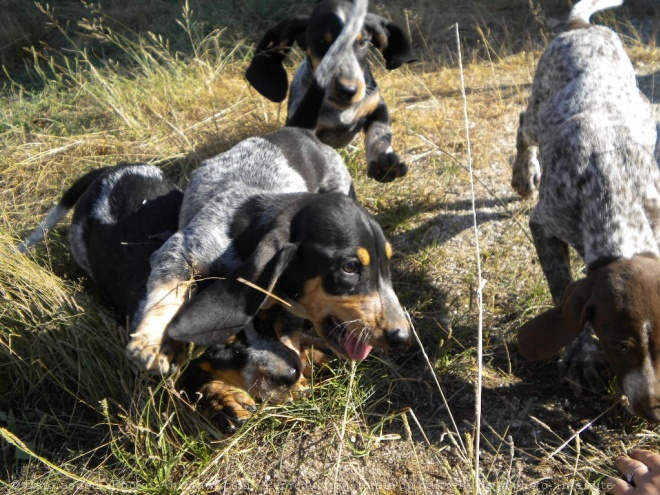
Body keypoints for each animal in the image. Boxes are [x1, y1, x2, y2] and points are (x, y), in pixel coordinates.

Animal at [245, 0, 416, 183]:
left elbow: (379, 132)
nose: (347, 89)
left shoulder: (376, 104)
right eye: (322, 41)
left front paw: (383, 162)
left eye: (363, 41)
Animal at [512, 0, 660, 422]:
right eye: (619, 345)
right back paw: (523, 174)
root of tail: (580, 26)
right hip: (539, 106)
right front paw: (580, 355)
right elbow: (562, 291)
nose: (655, 411)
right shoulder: (544, 224)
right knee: (523, 126)